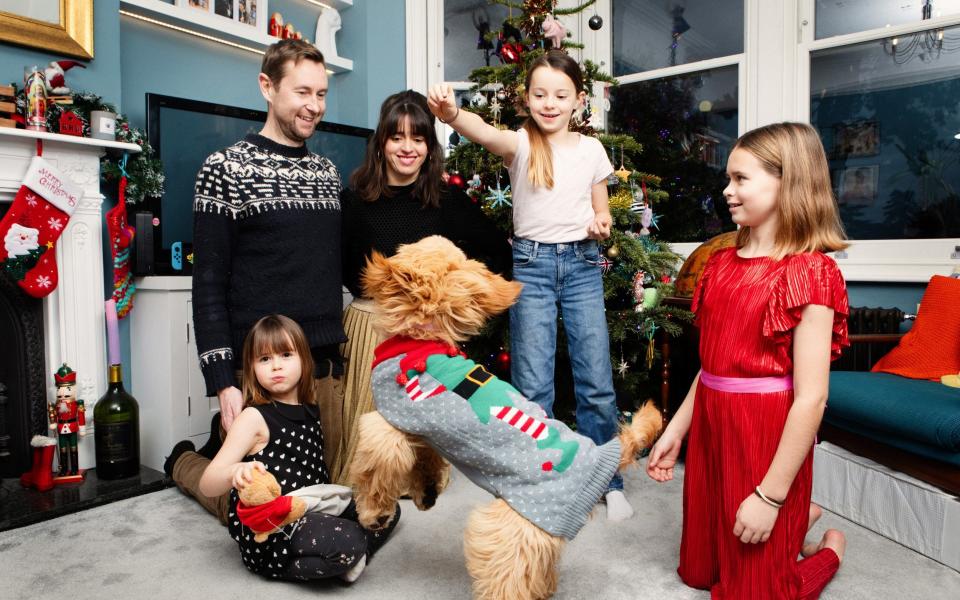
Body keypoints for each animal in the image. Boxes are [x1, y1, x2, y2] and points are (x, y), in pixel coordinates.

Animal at [348, 237, 664, 596]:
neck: (424, 339)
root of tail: (602, 457)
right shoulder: (424, 433)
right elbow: (425, 460)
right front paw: (426, 492)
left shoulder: (388, 423)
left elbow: (374, 470)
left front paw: (373, 515)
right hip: (535, 534)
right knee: (539, 568)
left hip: (508, 534)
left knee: (509, 582)